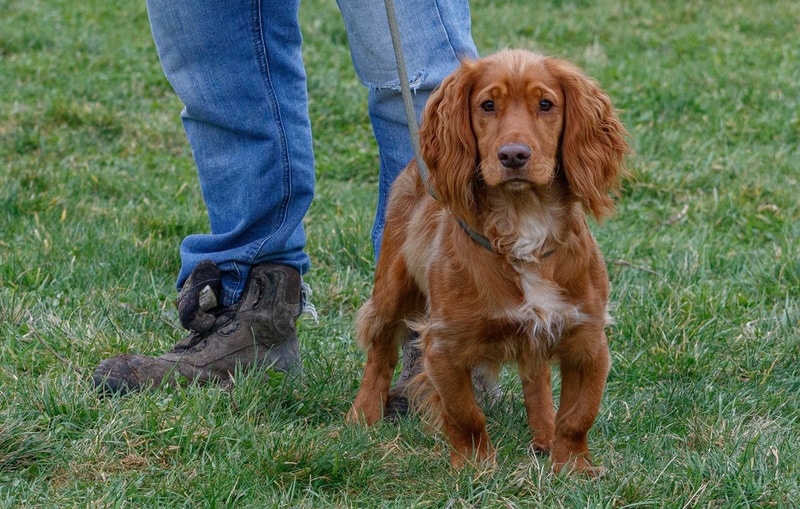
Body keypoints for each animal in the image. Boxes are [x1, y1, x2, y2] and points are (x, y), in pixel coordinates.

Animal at [346, 49, 628, 474]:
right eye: (488, 105)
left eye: (546, 104)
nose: (513, 156)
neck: (523, 223)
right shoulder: (445, 344)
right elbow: (466, 415)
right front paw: (475, 466)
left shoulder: (587, 338)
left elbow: (578, 415)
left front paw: (573, 467)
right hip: (392, 284)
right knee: (380, 348)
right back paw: (363, 415)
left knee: (536, 377)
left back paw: (543, 434)